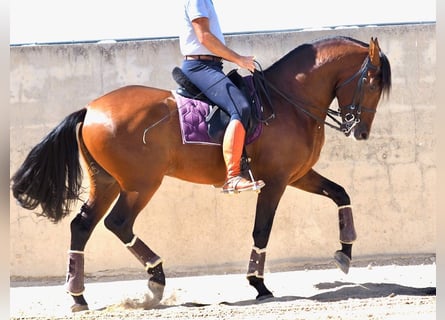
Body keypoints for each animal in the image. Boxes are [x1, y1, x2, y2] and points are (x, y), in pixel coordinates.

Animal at [12, 36, 390, 312]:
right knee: (118, 224)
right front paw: (258, 283)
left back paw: (79, 296)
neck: (288, 102)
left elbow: (341, 193)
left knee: (83, 226)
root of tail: (90, 109)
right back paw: (155, 278)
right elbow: (262, 230)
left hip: (105, 182)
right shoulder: (276, 181)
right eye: (372, 83)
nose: (361, 132)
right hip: (140, 184)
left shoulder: (298, 175)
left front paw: (345, 252)